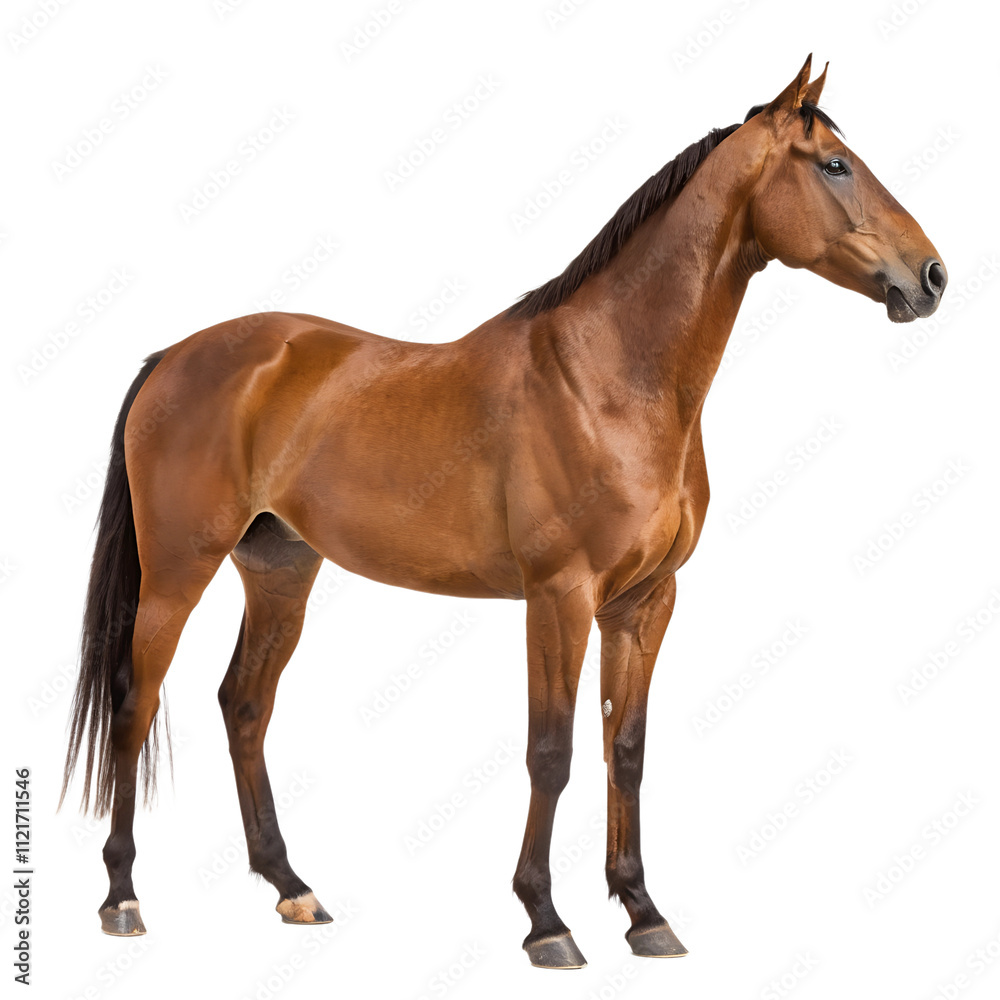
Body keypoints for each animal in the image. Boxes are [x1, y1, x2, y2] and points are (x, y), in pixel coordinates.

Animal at [60, 54, 946, 969]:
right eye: (835, 165)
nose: (932, 277)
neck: (609, 378)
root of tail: (174, 356)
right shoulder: (559, 596)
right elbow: (550, 752)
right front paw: (546, 921)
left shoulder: (644, 603)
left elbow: (625, 750)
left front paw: (643, 912)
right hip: (178, 571)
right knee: (134, 704)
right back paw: (122, 897)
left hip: (279, 571)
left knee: (243, 705)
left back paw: (292, 888)